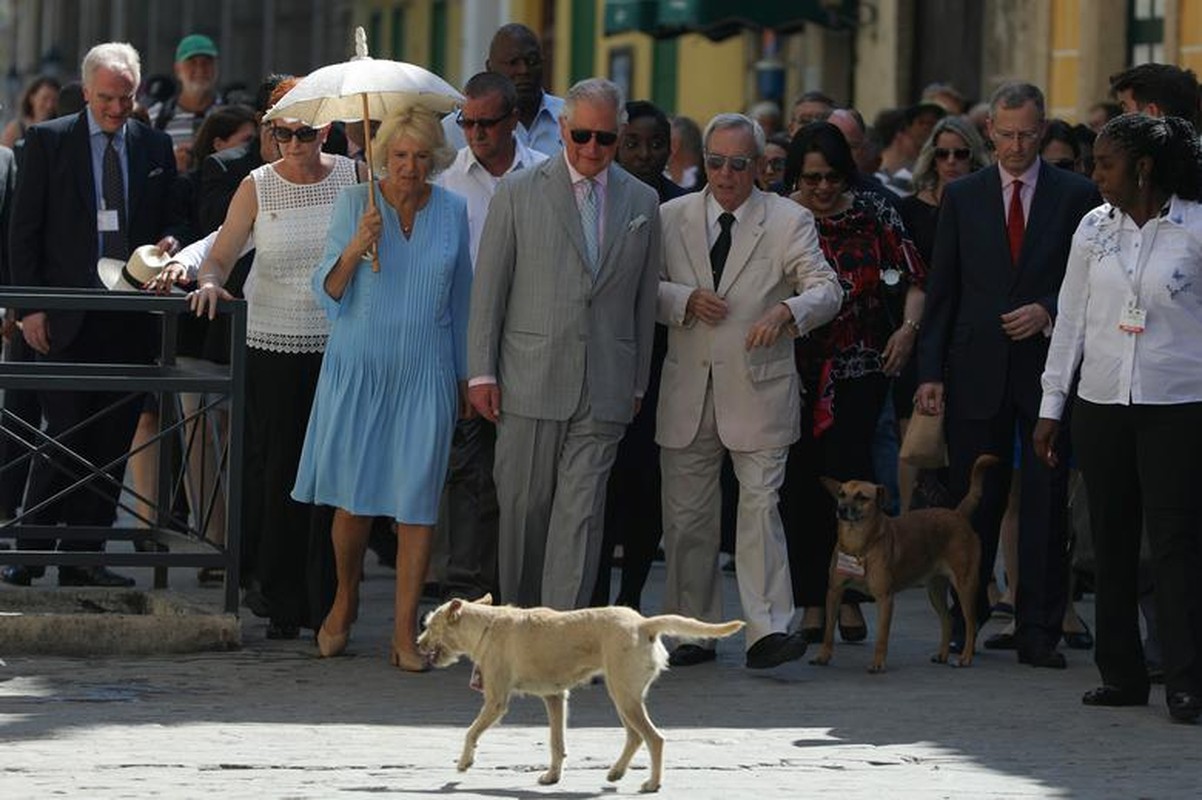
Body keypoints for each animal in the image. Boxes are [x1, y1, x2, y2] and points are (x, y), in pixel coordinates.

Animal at [418, 590, 745, 792]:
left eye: (430, 626)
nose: (418, 643)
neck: (488, 624)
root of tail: (643, 623)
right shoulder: (555, 698)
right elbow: (556, 743)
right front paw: (553, 776)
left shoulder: (496, 701)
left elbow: (471, 731)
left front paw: (464, 762)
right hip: (624, 696)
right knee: (635, 736)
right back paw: (617, 772)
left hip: (624, 696)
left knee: (654, 738)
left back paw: (652, 784)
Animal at [812, 451, 1000, 667]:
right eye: (841, 494)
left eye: (861, 497)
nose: (842, 509)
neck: (859, 545)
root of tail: (957, 514)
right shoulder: (834, 592)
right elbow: (828, 632)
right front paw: (823, 656)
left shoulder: (885, 599)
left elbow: (882, 637)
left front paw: (878, 663)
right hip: (935, 589)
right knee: (948, 620)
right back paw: (942, 654)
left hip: (965, 585)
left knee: (970, 623)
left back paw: (965, 657)